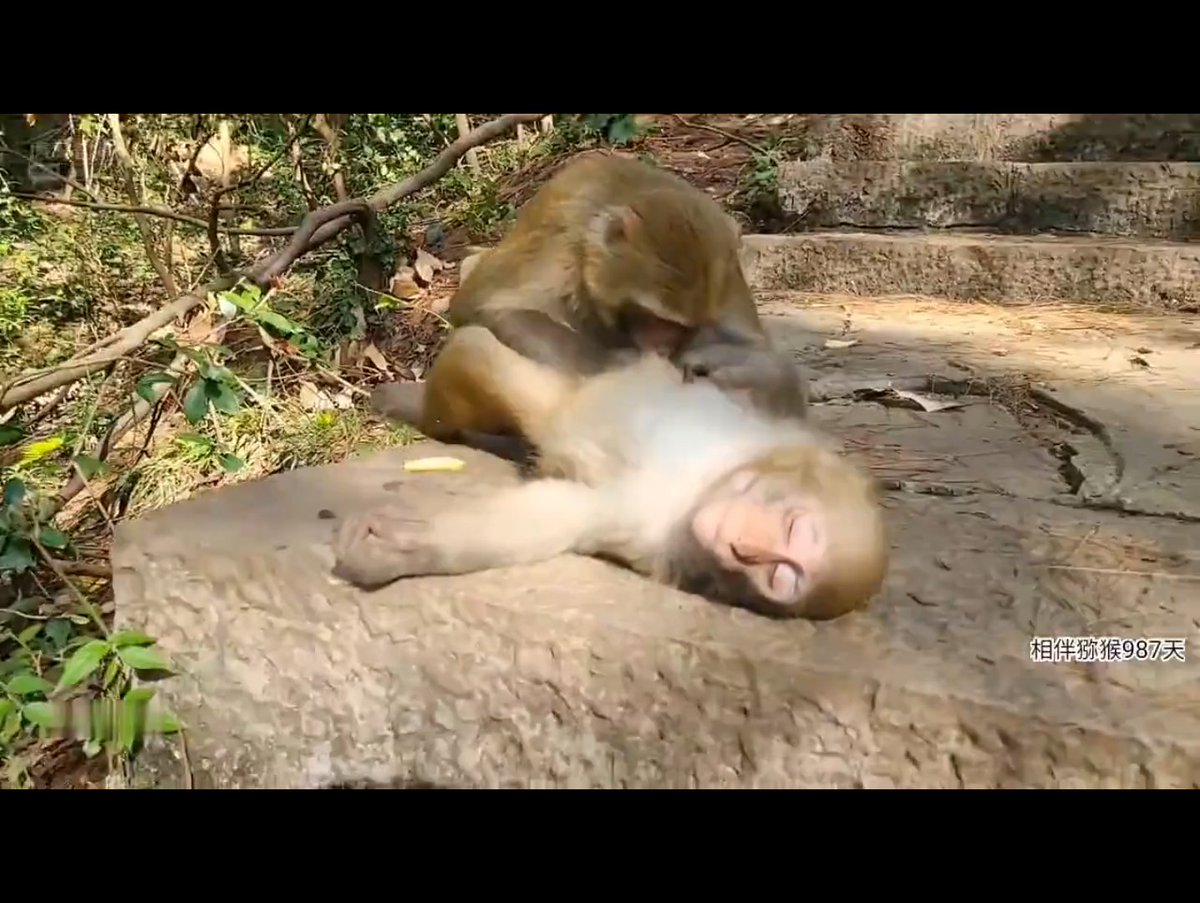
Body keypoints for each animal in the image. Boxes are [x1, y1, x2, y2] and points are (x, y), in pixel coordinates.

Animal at [333, 325, 887, 621]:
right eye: (789, 524)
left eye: (780, 574)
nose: (742, 545)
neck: (704, 483)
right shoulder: (774, 432)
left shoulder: (658, 537)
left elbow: (560, 513)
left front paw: (409, 546)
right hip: (571, 391)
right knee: (481, 354)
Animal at [370, 152, 807, 449]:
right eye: (654, 318)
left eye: (680, 327)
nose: (663, 346)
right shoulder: (566, 235)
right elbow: (487, 304)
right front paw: (622, 366)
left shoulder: (726, 261)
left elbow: (758, 348)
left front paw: (726, 367)